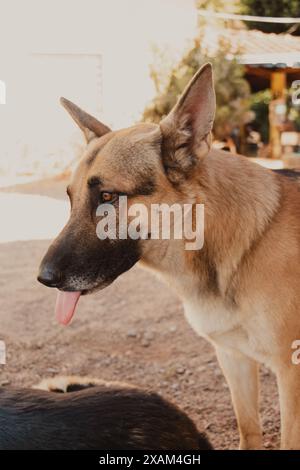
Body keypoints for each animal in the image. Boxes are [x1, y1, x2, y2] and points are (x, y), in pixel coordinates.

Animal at [38, 64, 300, 450]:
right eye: (70, 198)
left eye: (108, 196)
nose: (44, 278)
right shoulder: (233, 358)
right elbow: (248, 430)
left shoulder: (290, 373)